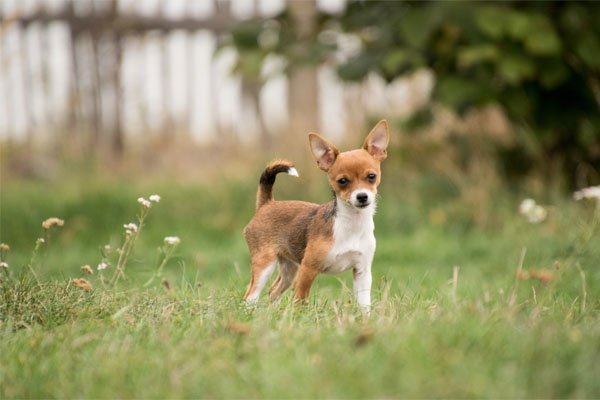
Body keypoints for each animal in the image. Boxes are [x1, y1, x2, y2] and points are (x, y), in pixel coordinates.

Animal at [243, 119, 390, 310]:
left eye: (372, 176)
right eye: (342, 181)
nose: (362, 196)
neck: (351, 223)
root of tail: (267, 203)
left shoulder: (362, 272)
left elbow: (364, 304)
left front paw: (366, 317)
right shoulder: (308, 269)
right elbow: (300, 300)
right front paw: (299, 315)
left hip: (289, 268)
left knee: (273, 291)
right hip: (265, 263)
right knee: (250, 295)